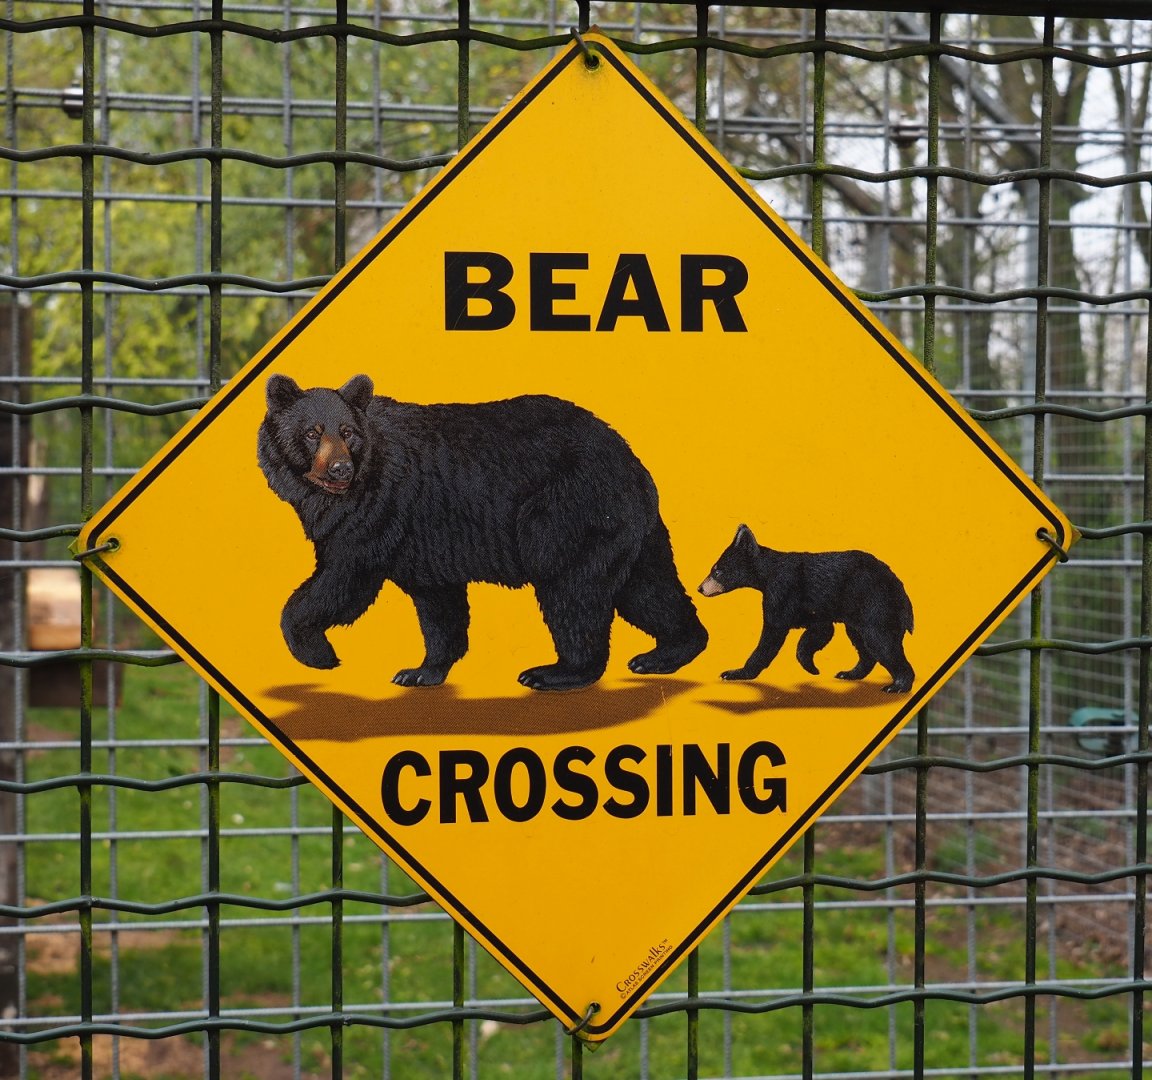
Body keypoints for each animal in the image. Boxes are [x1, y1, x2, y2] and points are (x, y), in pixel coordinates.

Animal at [256, 374, 708, 692]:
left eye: (347, 432)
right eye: (312, 432)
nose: (341, 470)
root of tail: (633, 463)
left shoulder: (377, 511)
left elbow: (343, 581)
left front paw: (317, 650)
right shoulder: (424, 537)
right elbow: (438, 603)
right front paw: (422, 670)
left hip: (568, 513)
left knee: (573, 589)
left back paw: (555, 672)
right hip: (630, 530)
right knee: (648, 588)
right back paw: (669, 650)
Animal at [698, 524, 915, 694]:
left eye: (717, 570)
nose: (700, 588)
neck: (766, 576)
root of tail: (898, 583)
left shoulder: (783, 592)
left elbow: (772, 633)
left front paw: (735, 672)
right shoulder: (814, 608)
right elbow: (821, 630)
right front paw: (811, 665)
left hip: (875, 604)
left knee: (881, 641)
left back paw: (898, 685)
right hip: (858, 613)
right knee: (862, 641)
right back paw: (850, 673)